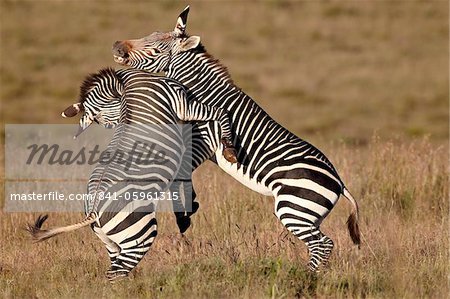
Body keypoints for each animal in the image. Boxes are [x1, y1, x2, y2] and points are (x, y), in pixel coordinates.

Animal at [27, 67, 239, 282]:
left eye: (101, 121)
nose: (115, 127)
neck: (127, 81)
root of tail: (93, 212)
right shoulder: (183, 105)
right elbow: (220, 112)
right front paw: (230, 148)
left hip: (111, 242)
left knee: (114, 268)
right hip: (138, 232)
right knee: (116, 272)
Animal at [110, 5, 360, 274]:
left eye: (155, 48)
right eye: (150, 33)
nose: (116, 45)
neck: (205, 94)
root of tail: (339, 183)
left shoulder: (205, 138)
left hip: (295, 207)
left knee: (322, 244)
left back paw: (307, 276)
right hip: (307, 214)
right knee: (321, 244)